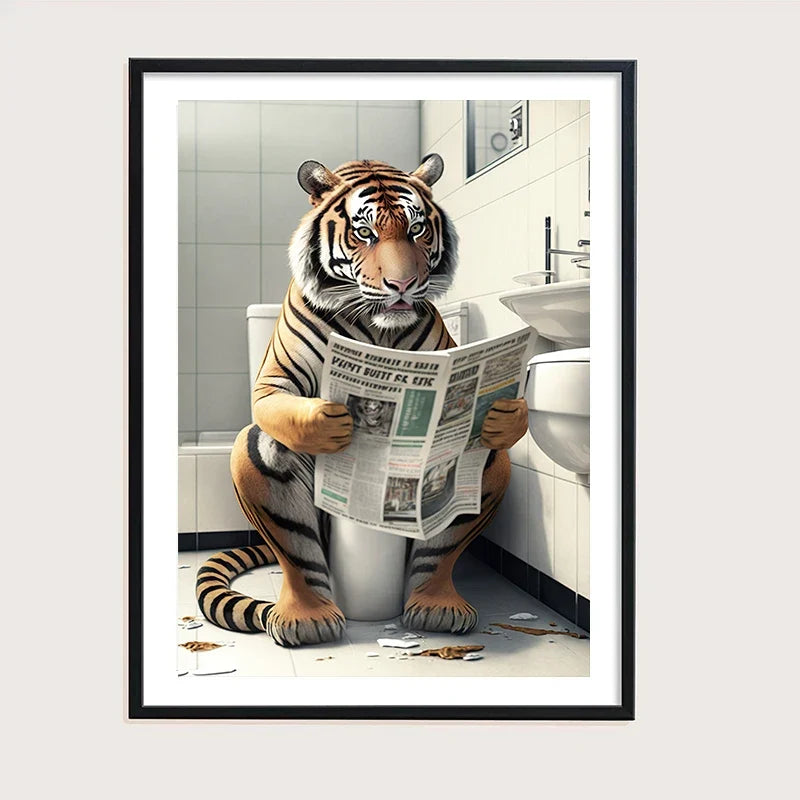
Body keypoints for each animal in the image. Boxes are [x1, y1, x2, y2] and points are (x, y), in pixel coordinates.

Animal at [195, 154, 529, 647]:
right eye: (365, 232)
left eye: (416, 229)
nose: (403, 284)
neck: (376, 328)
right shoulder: (275, 382)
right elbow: (274, 401)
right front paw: (329, 421)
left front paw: (505, 415)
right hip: (263, 462)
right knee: (300, 554)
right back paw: (307, 618)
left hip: (470, 470)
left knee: (442, 544)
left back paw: (436, 607)